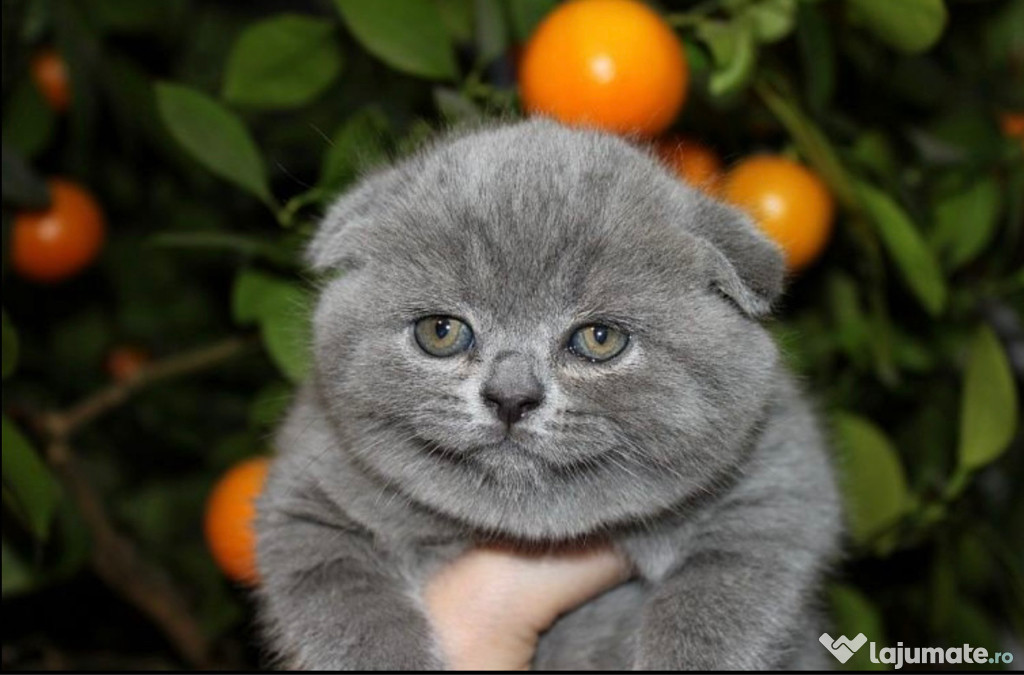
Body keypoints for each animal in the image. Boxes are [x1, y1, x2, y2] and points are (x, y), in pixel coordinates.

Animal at [253, 120, 839, 671]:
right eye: (440, 331)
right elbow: (342, 600)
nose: (511, 396)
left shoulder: (778, 475)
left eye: (599, 338)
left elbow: (724, 594)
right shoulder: (308, 492)